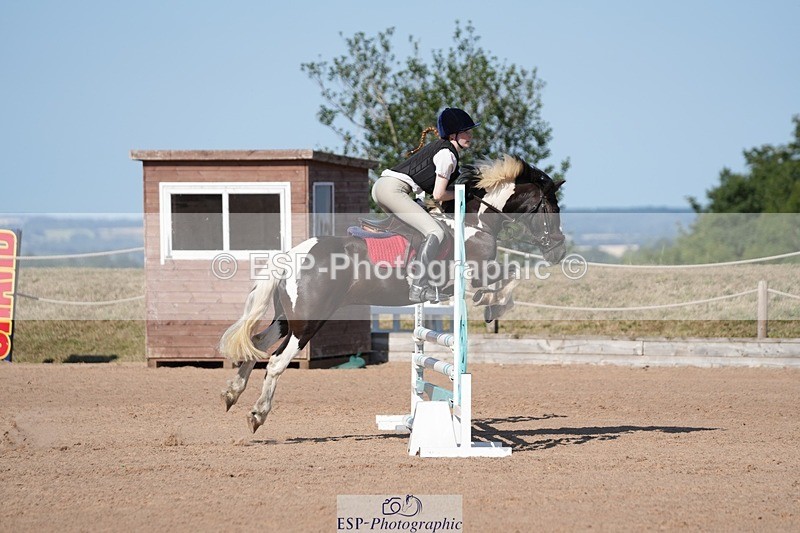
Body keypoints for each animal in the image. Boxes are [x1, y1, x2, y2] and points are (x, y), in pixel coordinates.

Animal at [218, 154, 567, 433]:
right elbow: (508, 279)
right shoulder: (473, 273)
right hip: (309, 322)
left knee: (257, 343)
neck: (474, 224)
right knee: (276, 362)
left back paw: (231, 393)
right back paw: (257, 414)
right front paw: (494, 305)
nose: (559, 252)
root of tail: (292, 254)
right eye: (551, 208)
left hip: (288, 318)